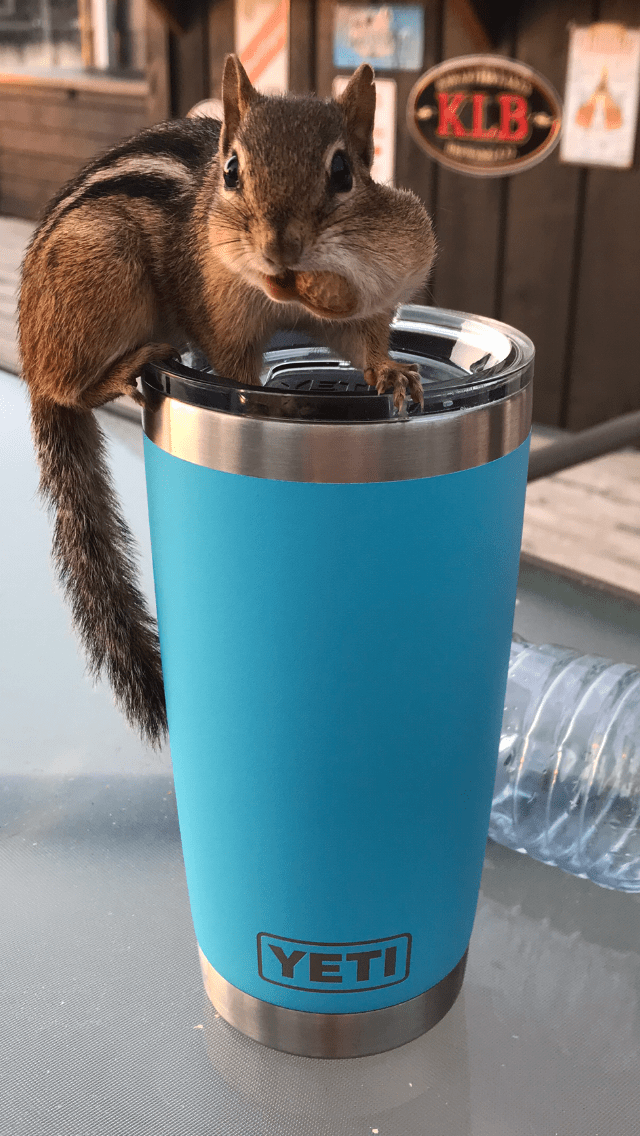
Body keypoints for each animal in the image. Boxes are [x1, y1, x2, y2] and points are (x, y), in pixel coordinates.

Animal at [18, 54, 436, 749]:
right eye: (233, 170)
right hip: (104, 264)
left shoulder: (376, 287)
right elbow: (234, 364)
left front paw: (393, 373)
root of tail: (25, 349)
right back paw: (125, 367)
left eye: (343, 172)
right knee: (68, 385)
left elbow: (367, 339)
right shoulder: (219, 319)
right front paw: (260, 392)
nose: (280, 252)